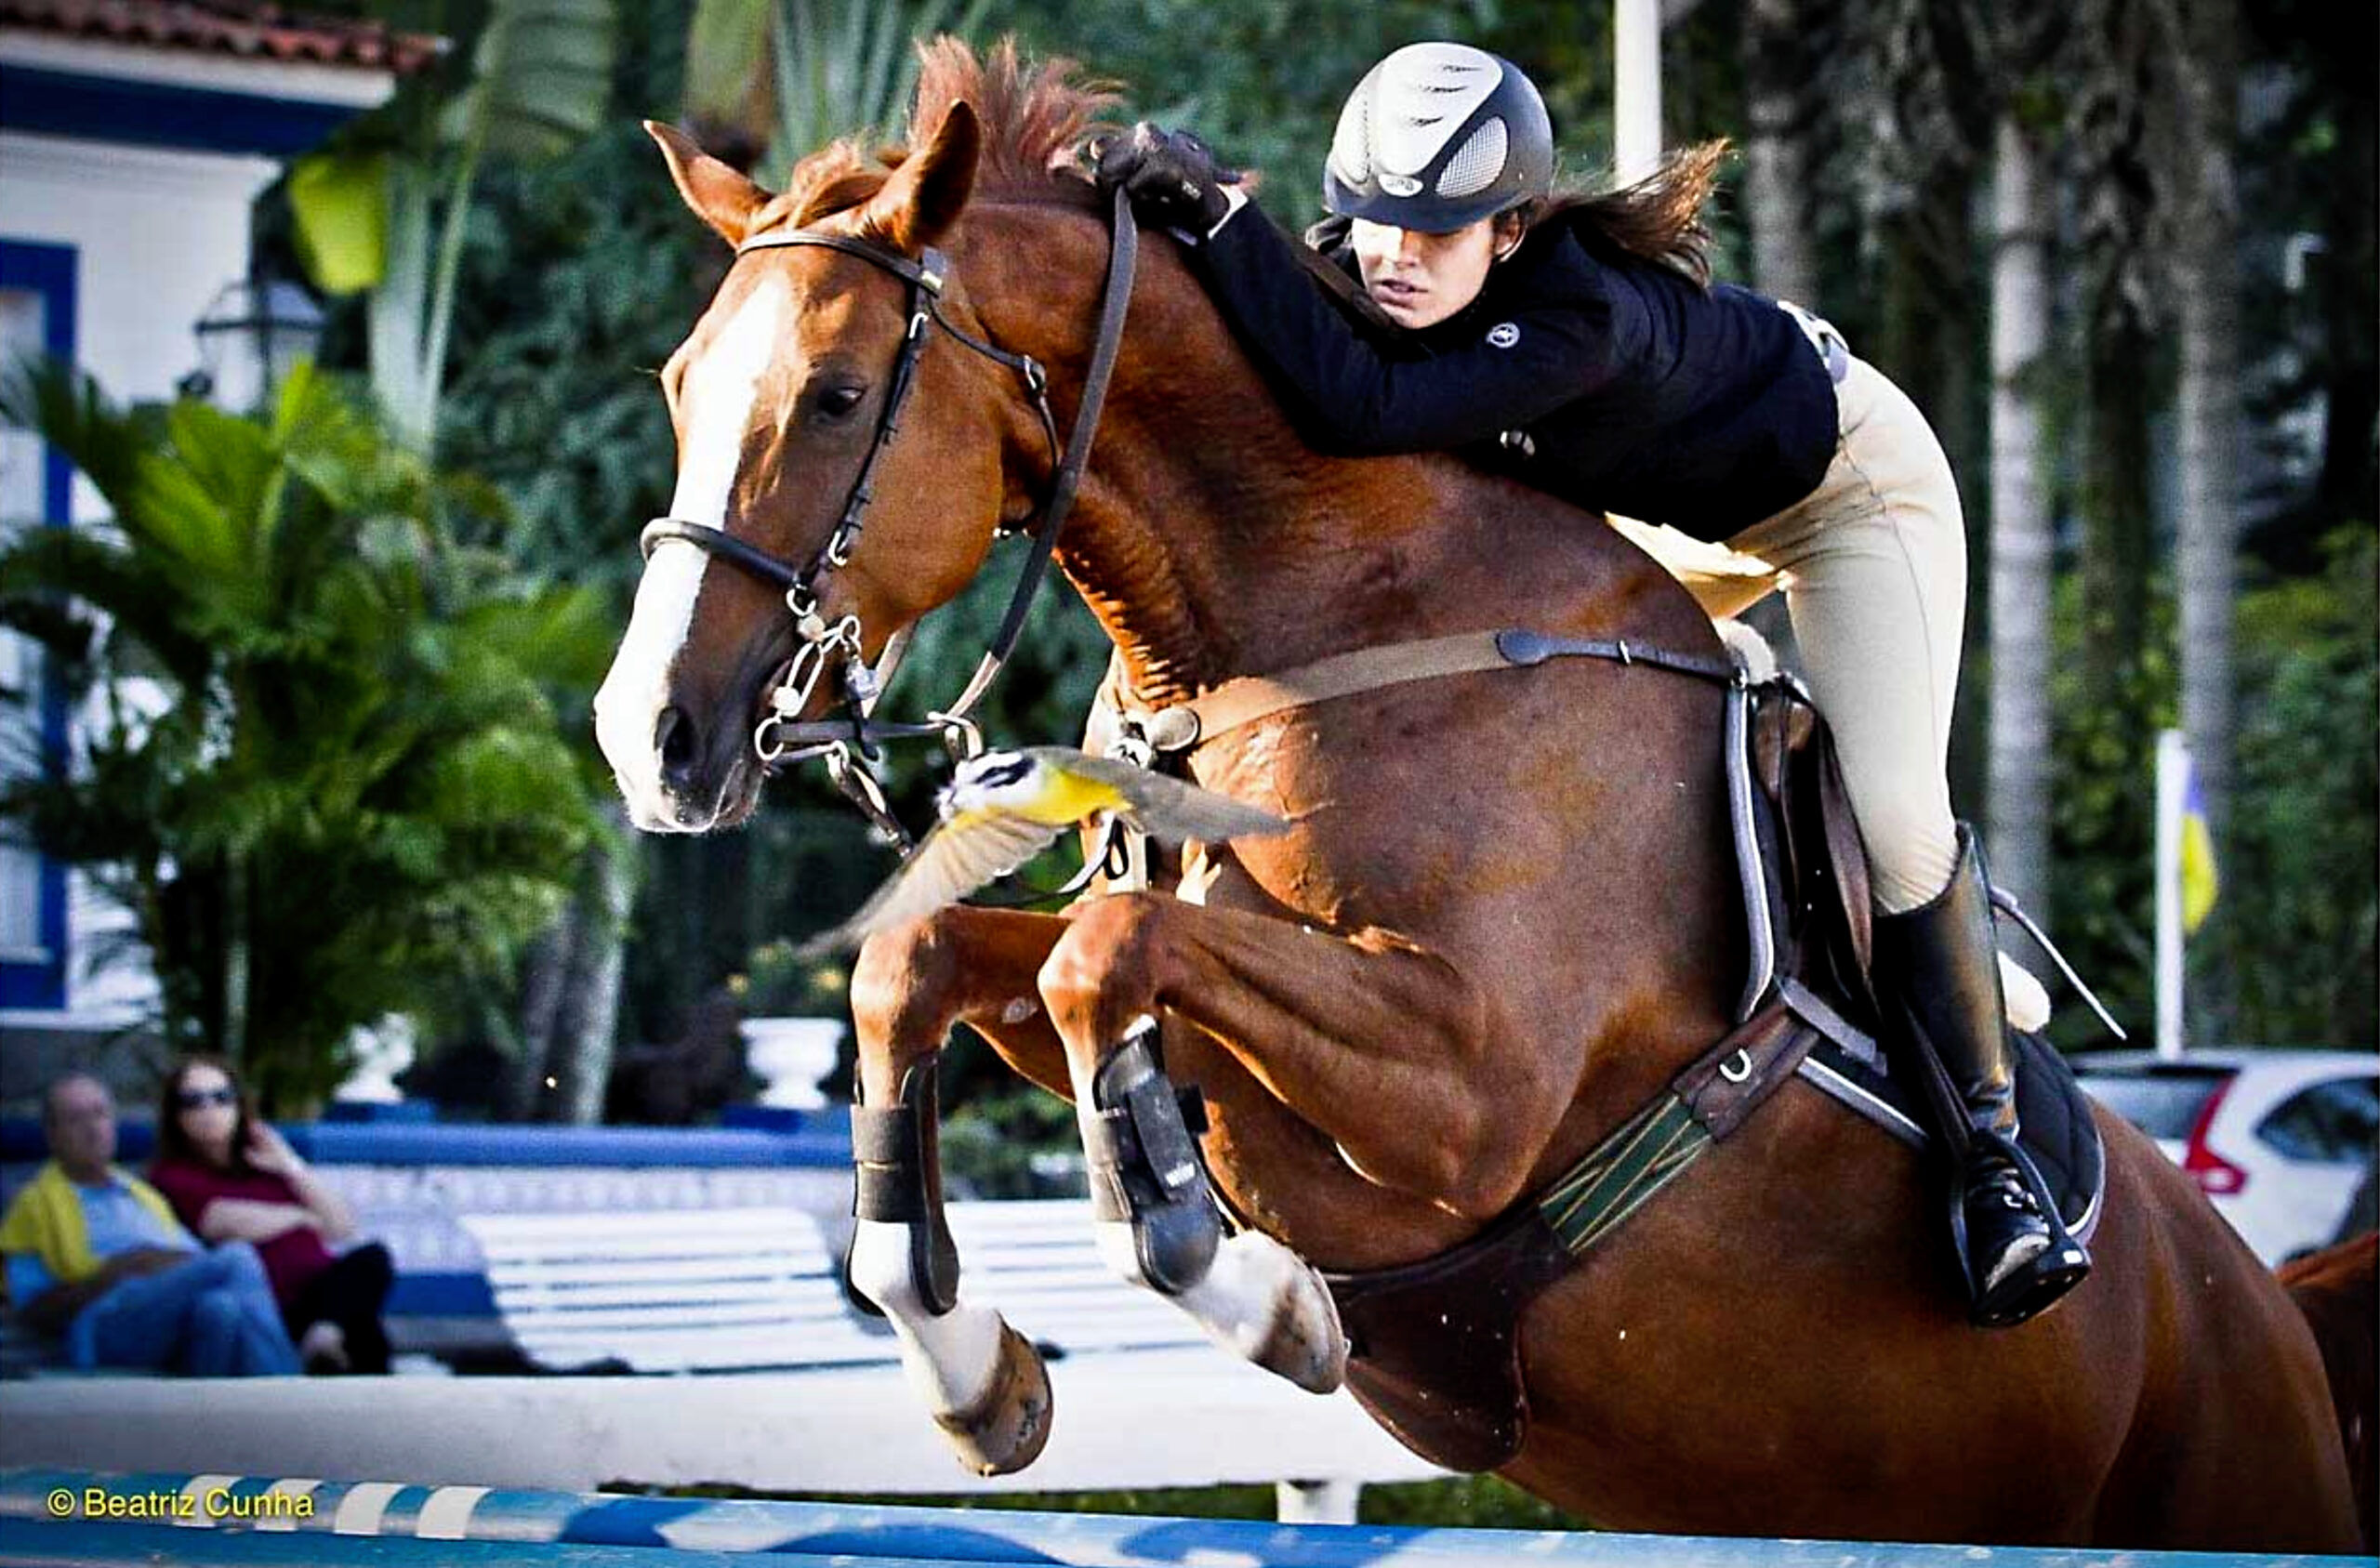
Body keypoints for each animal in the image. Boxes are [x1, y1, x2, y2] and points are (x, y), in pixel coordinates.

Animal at [591, 40, 2364, 1552]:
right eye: (679, 383)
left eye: (836, 394)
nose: (647, 737)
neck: (1311, 619)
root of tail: (2271, 1306)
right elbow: (935, 965)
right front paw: (976, 1367)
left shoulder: (1472, 1084)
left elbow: (1110, 965)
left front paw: (1251, 1290)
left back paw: (2012, 1223)